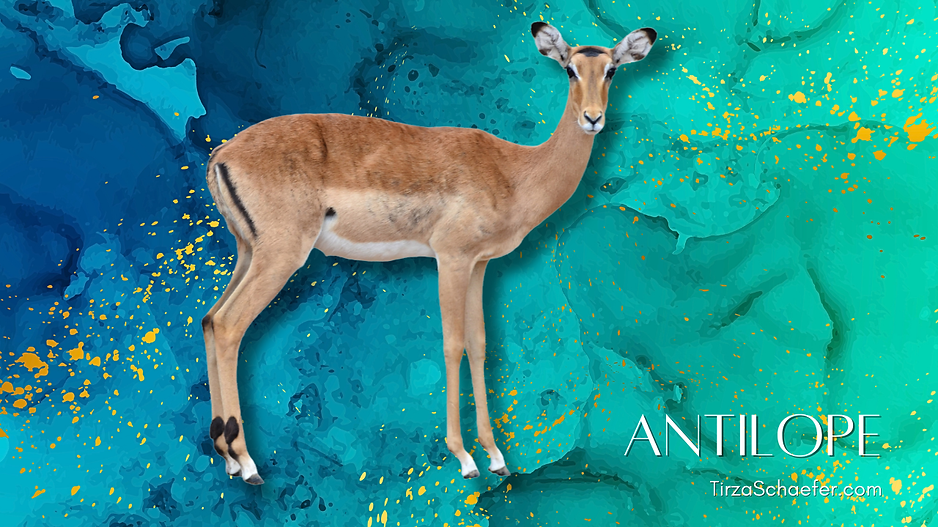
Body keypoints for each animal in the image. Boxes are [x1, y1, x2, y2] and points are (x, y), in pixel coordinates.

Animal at [201, 22, 656, 485]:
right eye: (569, 69)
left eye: (612, 70)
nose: (593, 119)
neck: (513, 172)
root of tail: (222, 153)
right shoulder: (451, 259)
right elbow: (452, 344)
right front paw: (466, 459)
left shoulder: (479, 265)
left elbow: (479, 344)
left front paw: (496, 456)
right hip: (281, 256)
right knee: (229, 325)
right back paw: (248, 464)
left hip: (248, 253)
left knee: (209, 319)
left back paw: (228, 458)